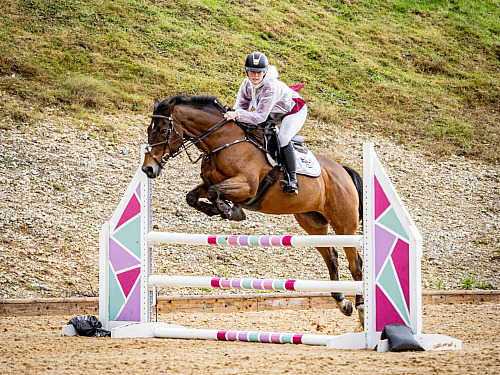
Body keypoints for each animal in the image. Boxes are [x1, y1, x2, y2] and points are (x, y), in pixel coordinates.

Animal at [141, 94, 364, 324]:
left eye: (163, 130)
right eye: (149, 129)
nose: (148, 168)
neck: (222, 141)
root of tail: (343, 171)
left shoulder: (246, 186)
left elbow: (213, 192)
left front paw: (231, 211)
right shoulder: (211, 182)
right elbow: (193, 196)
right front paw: (218, 210)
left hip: (344, 225)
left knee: (355, 263)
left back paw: (361, 307)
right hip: (312, 223)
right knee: (332, 257)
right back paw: (342, 303)